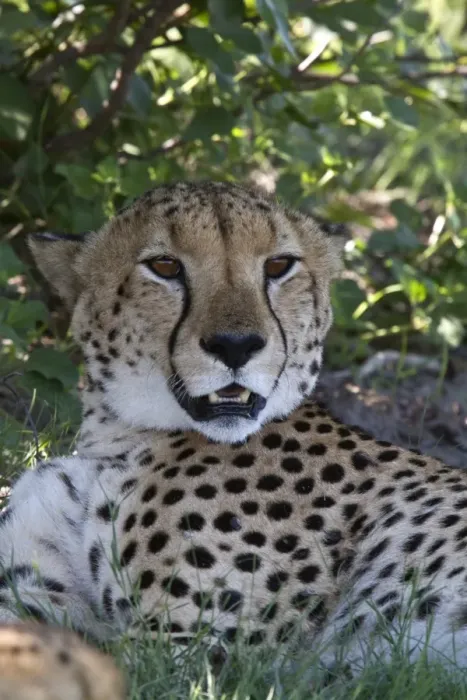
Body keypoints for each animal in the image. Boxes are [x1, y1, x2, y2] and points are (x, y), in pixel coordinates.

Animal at [2, 180, 467, 684]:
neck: (118, 434)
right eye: (165, 266)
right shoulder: (40, 590)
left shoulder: (190, 653)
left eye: (279, 266)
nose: (236, 346)